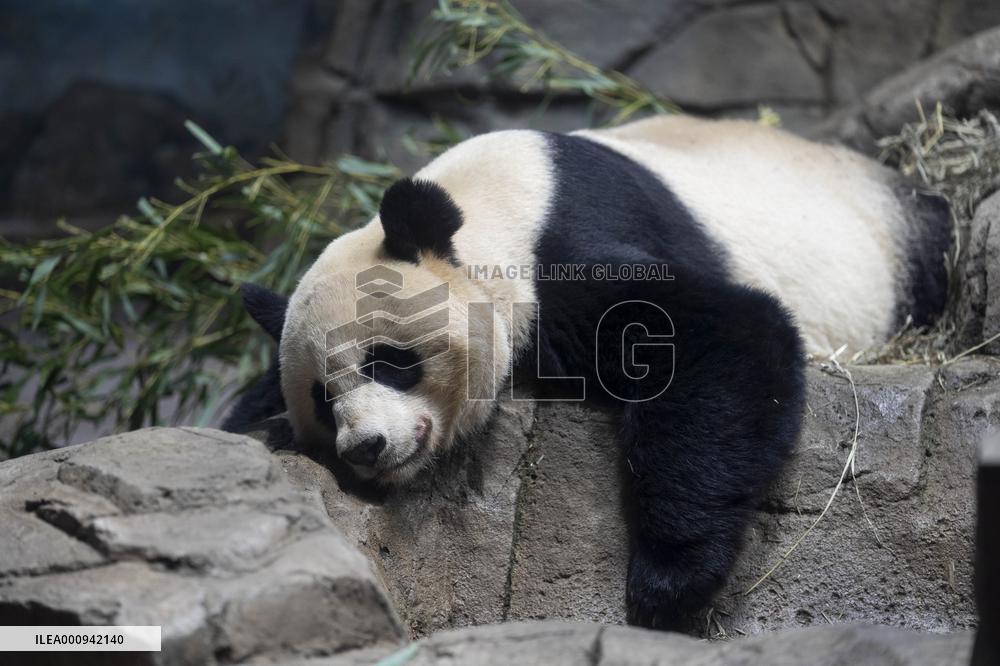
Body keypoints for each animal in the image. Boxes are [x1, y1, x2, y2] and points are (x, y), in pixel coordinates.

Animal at [223, 114, 951, 630]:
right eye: (322, 398)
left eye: (390, 362)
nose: (366, 447)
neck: (490, 204)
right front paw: (261, 421)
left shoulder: (561, 251)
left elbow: (718, 335)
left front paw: (669, 582)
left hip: (898, 253)